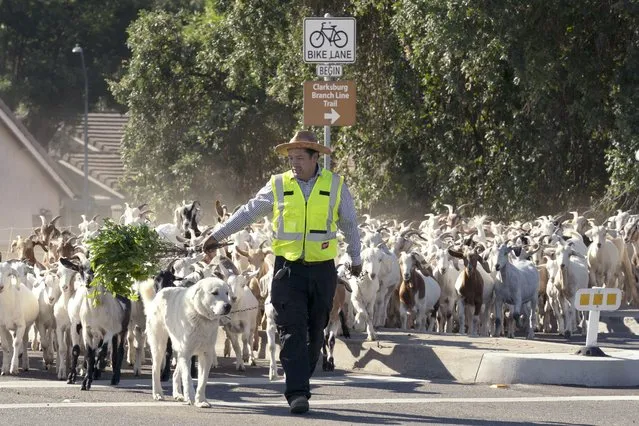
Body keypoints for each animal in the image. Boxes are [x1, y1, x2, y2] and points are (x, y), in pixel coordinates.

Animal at [140, 274, 232, 408]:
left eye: (227, 293)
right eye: (214, 293)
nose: (228, 306)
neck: (201, 317)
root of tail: (158, 295)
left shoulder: (206, 355)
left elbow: (202, 381)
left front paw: (201, 400)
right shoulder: (187, 353)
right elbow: (188, 379)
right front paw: (191, 398)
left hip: (180, 351)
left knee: (175, 374)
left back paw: (178, 394)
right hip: (160, 346)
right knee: (155, 369)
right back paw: (157, 394)